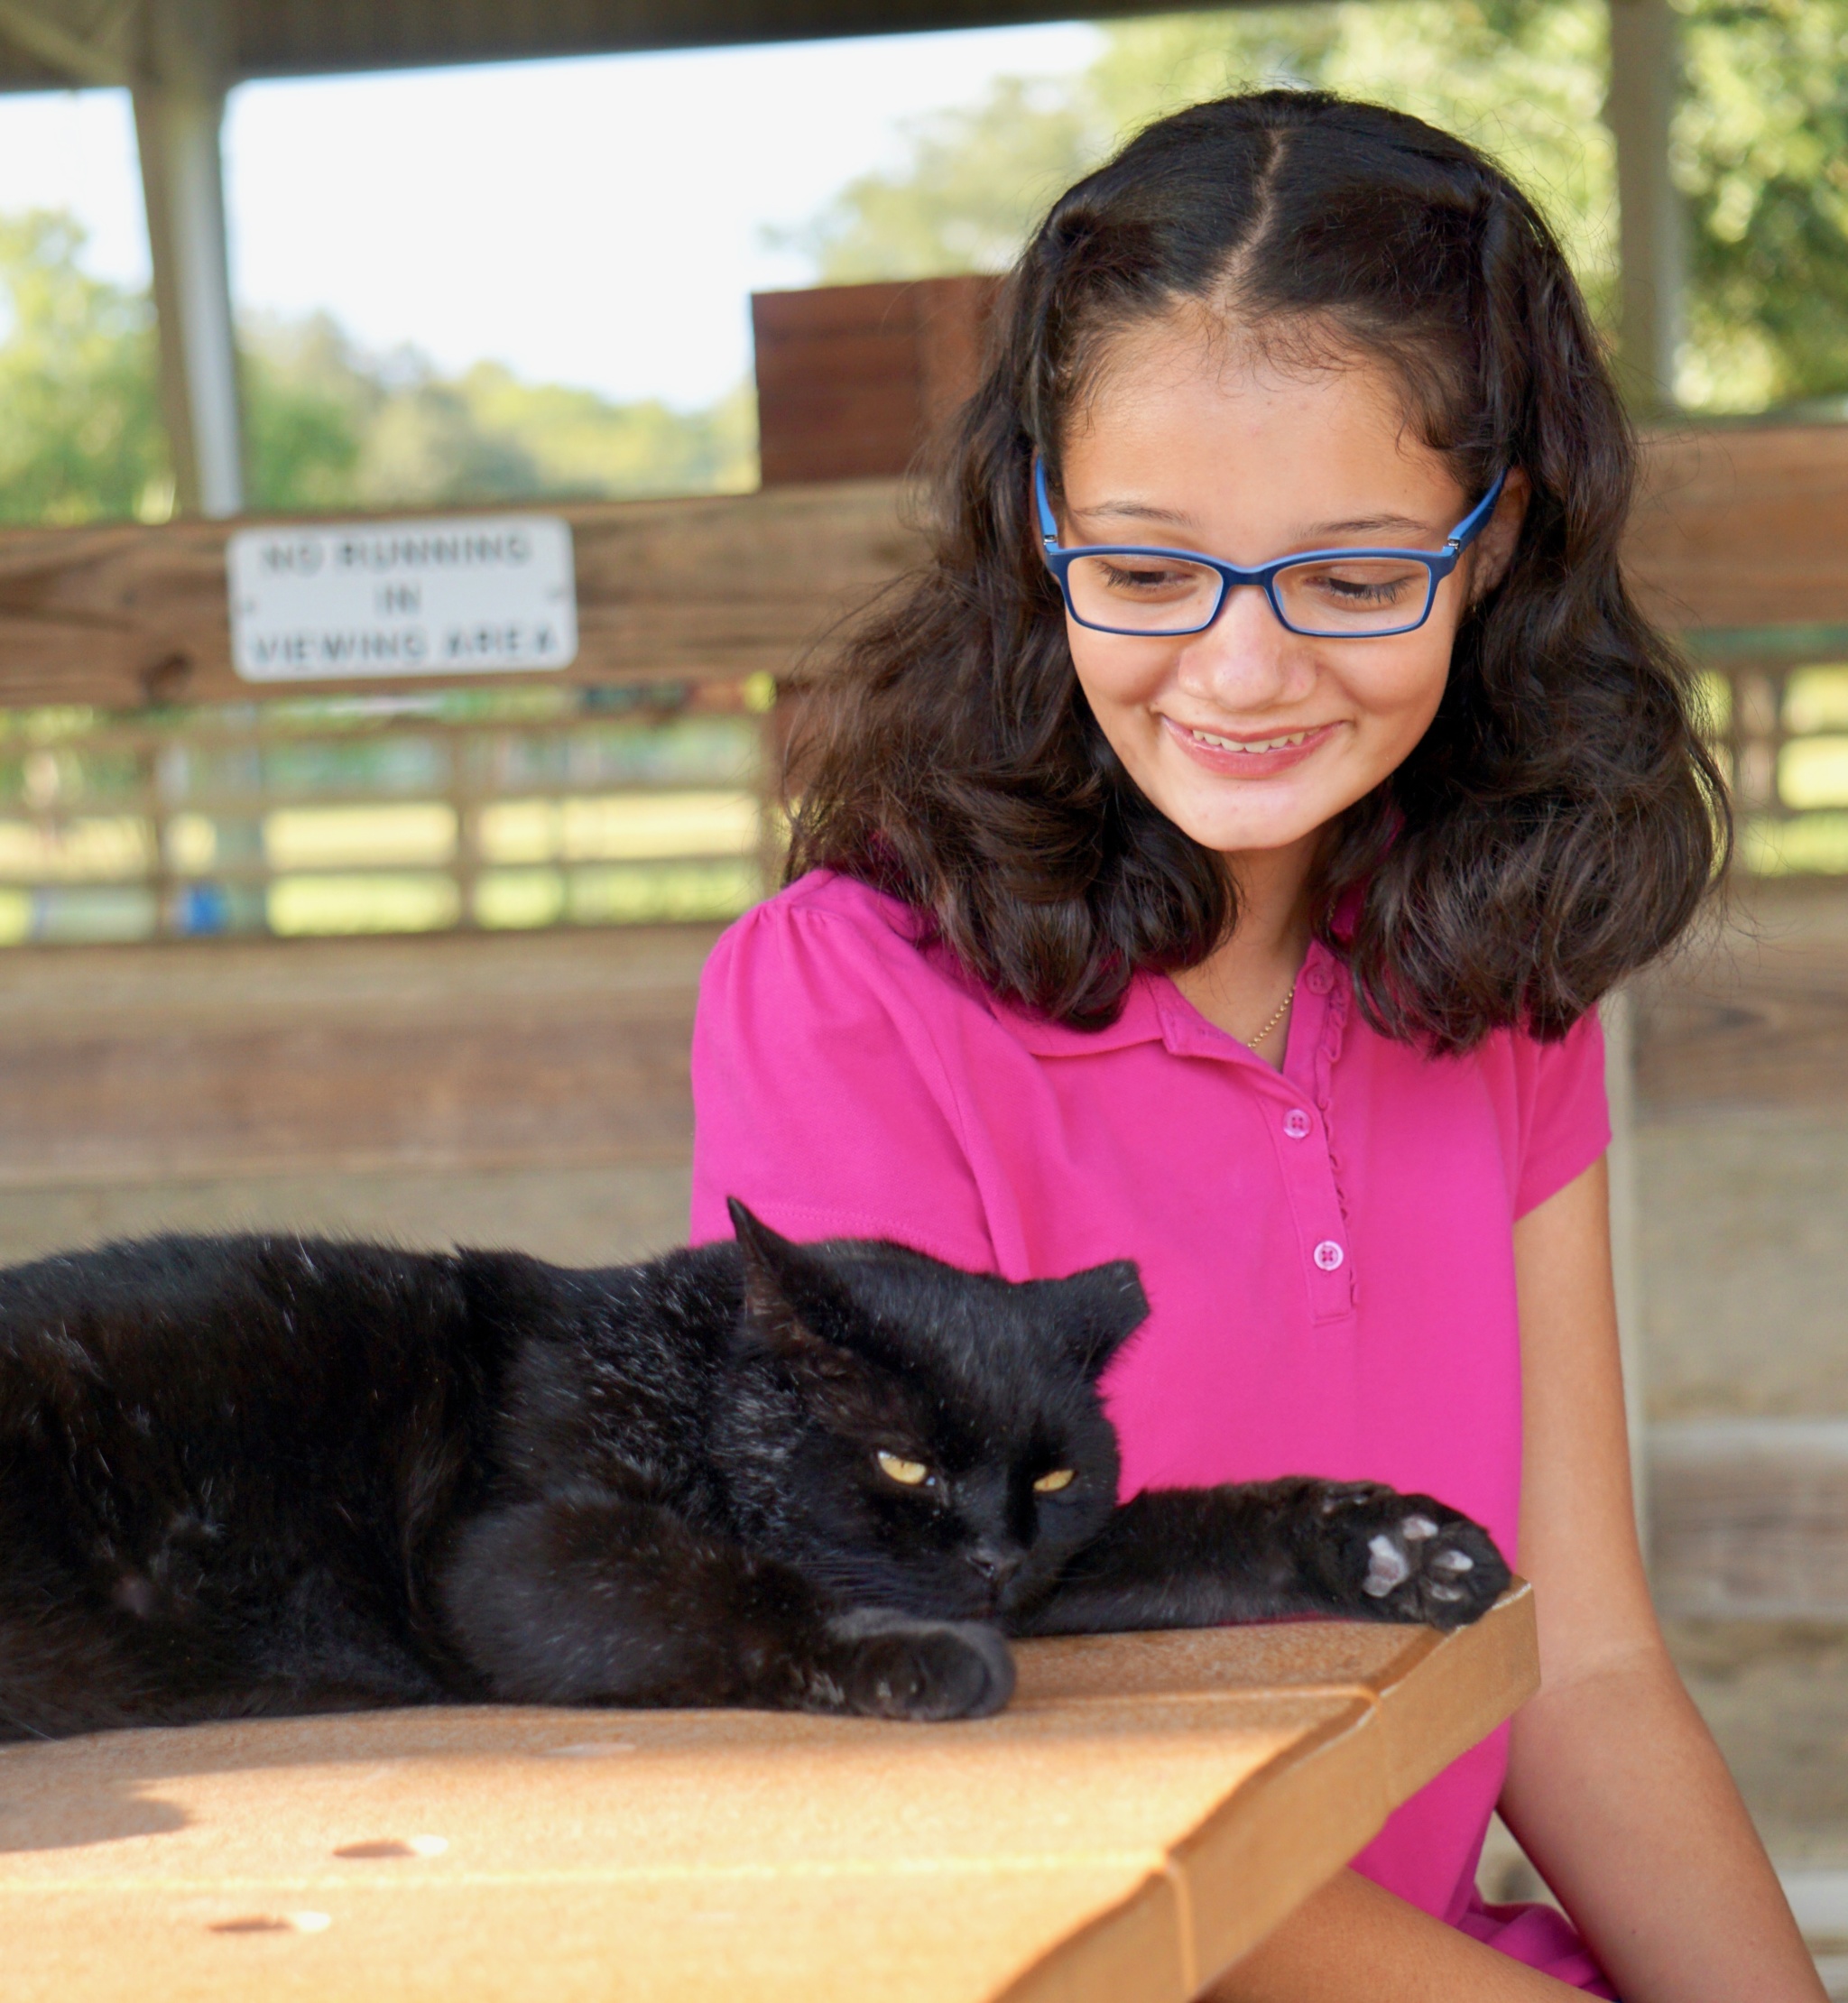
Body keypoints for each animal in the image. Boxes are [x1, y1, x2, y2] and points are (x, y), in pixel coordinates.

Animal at [0, 1202, 1505, 1738]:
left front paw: (1389, 1542)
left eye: (1054, 1481)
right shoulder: (506, 1559)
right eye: (903, 1461)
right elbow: (719, 1587)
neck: (672, 1383)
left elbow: (1197, 1525)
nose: (993, 1551)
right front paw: (908, 1658)